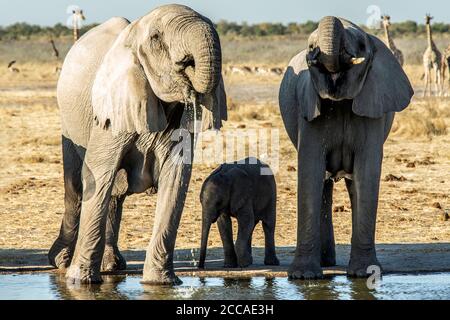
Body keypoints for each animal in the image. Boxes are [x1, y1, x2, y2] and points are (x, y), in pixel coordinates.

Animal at [48, 4, 229, 284]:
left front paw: (161, 282)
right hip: (67, 122)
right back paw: (62, 262)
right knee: (76, 185)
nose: (187, 66)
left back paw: (112, 266)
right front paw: (81, 282)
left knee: (114, 194)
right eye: (156, 38)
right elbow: (98, 173)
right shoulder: (112, 107)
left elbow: (175, 178)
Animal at [280, 16, 414, 278]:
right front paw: (303, 277)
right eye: (311, 46)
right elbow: (310, 169)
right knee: (323, 184)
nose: (315, 52)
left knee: (353, 184)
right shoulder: (308, 106)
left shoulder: (373, 108)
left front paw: (364, 274)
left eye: (361, 45)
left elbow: (367, 172)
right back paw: (325, 264)